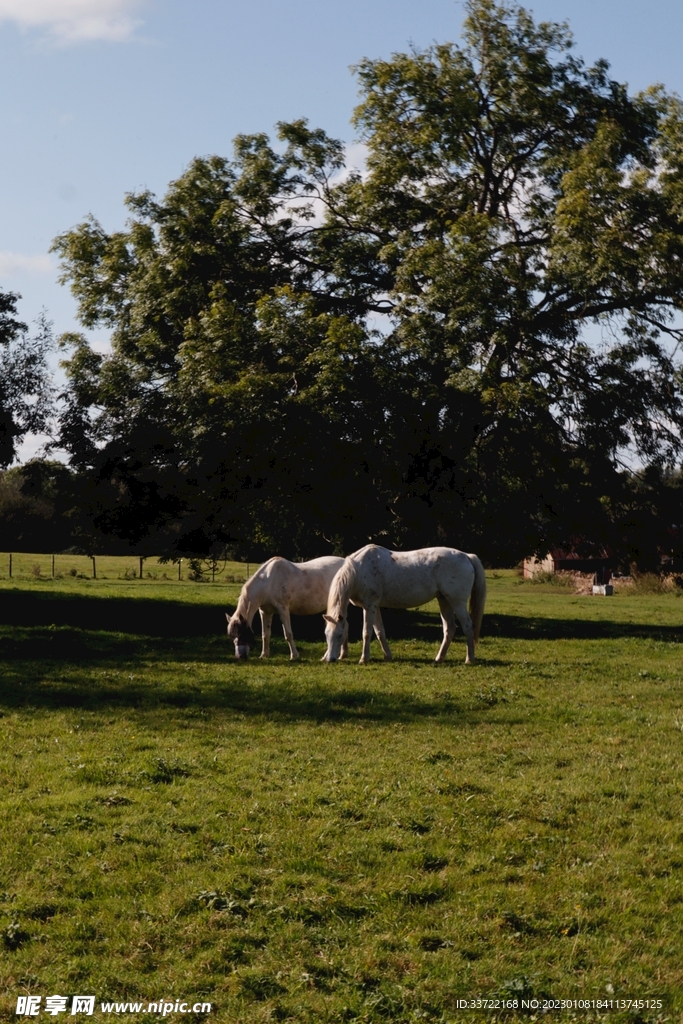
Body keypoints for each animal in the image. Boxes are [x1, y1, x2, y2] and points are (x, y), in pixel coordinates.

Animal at [322, 544, 486, 665]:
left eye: (340, 635)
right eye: (326, 635)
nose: (330, 659)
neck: (358, 570)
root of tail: (466, 555)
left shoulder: (370, 606)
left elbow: (367, 632)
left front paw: (364, 659)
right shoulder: (373, 607)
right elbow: (380, 631)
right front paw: (387, 656)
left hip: (457, 602)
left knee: (467, 626)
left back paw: (469, 659)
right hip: (444, 601)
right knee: (449, 628)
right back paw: (439, 658)